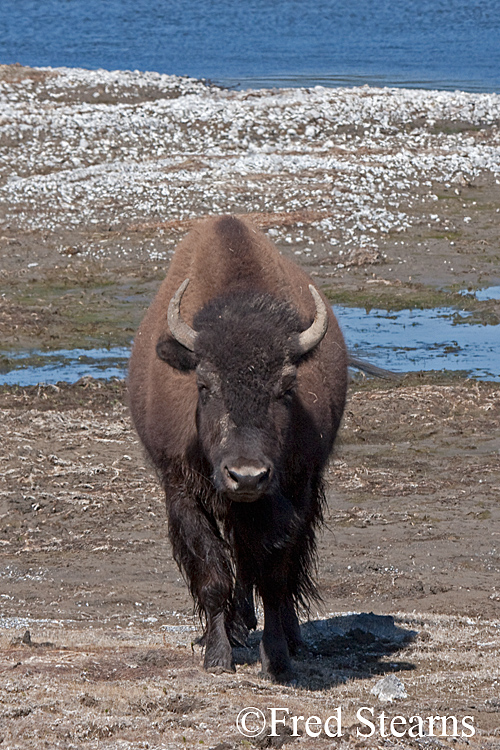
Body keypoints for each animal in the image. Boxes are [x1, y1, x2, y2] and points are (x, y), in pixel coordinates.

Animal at [128, 214, 348, 684]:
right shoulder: (182, 492)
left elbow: (276, 574)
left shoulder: (295, 491)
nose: (246, 476)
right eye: (204, 385)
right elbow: (213, 574)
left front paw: (278, 658)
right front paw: (217, 656)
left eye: (286, 387)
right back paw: (236, 627)